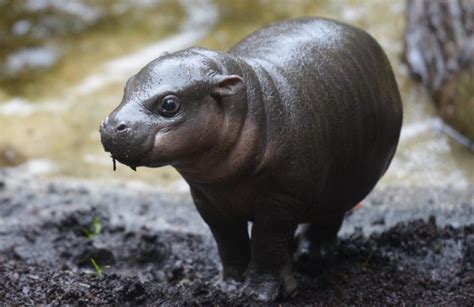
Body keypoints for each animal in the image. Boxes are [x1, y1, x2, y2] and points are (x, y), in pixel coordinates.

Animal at [101, 17, 404, 304]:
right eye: (127, 84)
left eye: (169, 104)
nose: (111, 125)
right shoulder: (206, 200)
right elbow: (229, 242)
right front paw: (228, 286)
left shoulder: (279, 202)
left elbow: (266, 244)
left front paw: (259, 294)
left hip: (345, 182)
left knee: (330, 217)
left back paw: (312, 255)